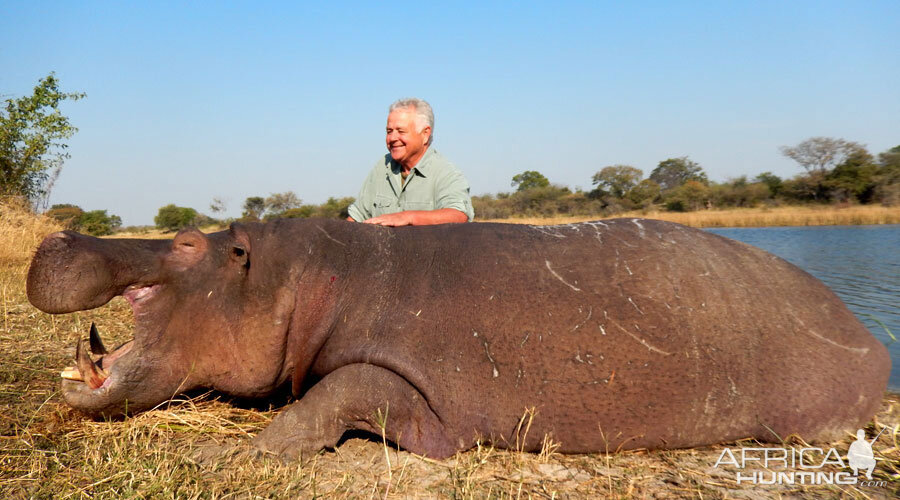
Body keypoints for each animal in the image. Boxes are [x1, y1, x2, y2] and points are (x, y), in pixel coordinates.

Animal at [24, 217, 888, 458]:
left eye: (184, 244)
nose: (61, 232)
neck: (297, 276)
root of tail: (869, 334)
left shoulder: (419, 389)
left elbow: (331, 395)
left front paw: (223, 456)